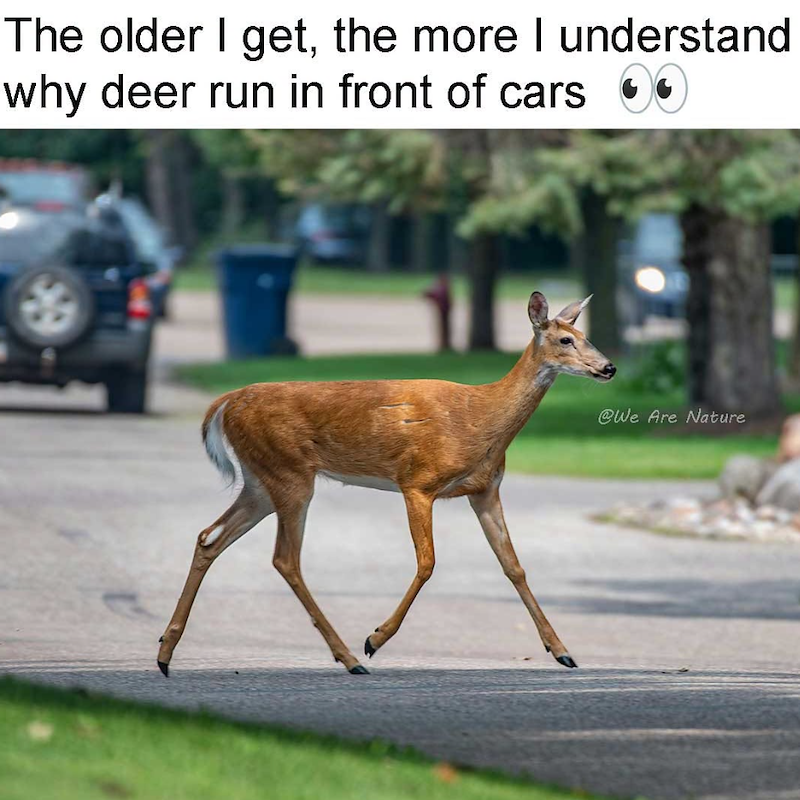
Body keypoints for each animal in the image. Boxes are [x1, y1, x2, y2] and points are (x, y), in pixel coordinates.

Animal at [157, 291, 616, 676]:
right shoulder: (418, 482)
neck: (481, 419)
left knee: (209, 538)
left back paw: (165, 652)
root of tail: (225, 403)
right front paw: (375, 638)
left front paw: (562, 651)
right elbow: (428, 562)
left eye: (586, 336)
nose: (608, 367)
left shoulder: (485, 490)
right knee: (285, 558)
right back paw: (351, 657)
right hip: (289, 475)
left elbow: (514, 566)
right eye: (564, 340)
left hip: (260, 482)